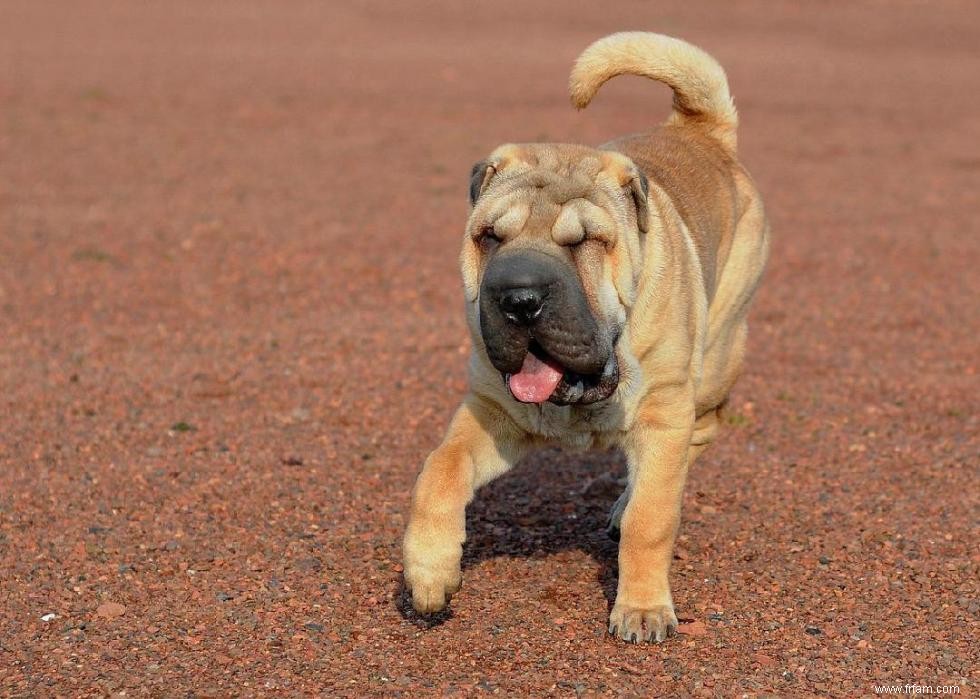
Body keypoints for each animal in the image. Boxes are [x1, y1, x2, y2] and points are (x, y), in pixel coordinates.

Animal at [402, 32, 768, 644]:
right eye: (489, 237)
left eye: (586, 242)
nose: (519, 298)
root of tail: (697, 129)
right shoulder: (489, 413)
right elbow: (440, 469)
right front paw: (429, 571)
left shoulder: (664, 413)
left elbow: (652, 518)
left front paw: (642, 609)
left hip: (715, 358)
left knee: (696, 437)